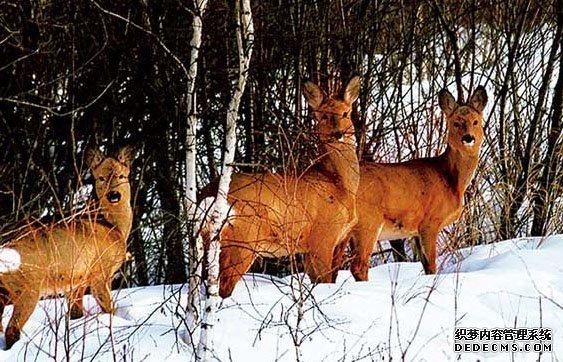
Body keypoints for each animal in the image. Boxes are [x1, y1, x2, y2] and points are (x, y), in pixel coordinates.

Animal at [0, 146, 135, 350]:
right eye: (101, 178)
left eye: (122, 176)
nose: (114, 195)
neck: (113, 227)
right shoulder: (100, 271)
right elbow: (109, 308)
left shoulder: (76, 281)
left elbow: (75, 313)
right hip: (27, 287)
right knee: (11, 329)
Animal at [202, 76, 362, 296]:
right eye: (323, 115)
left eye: (346, 113)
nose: (338, 134)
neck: (340, 185)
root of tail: (207, 193)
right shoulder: (322, 237)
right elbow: (325, 281)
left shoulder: (326, 243)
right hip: (242, 241)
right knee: (224, 287)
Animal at [334, 85, 490, 280]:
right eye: (456, 122)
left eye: (476, 121)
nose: (468, 138)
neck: (451, 179)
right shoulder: (430, 221)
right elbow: (431, 265)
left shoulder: (415, 230)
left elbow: (424, 264)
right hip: (367, 222)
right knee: (358, 266)